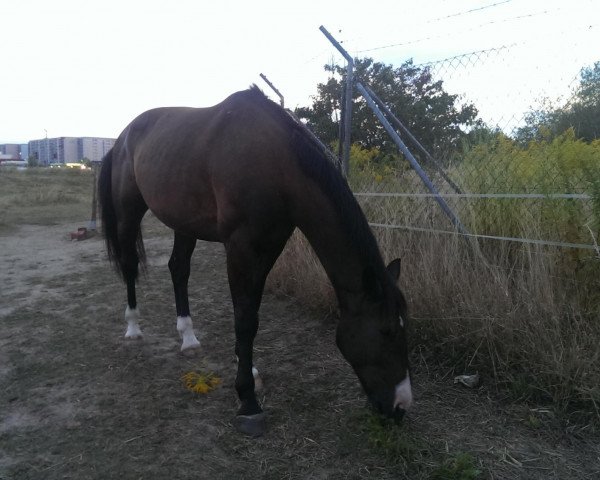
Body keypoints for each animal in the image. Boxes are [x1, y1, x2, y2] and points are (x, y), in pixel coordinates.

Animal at [97, 85, 412, 436]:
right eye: (386, 331)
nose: (401, 407)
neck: (274, 161)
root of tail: (122, 137)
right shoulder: (241, 247)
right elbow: (245, 319)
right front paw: (247, 400)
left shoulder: (269, 246)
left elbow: (251, 314)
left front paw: (248, 369)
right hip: (128, 211)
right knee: (129, 265)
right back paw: (133, 328)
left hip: (184, 221)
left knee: (178, 269)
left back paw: (188, 338)